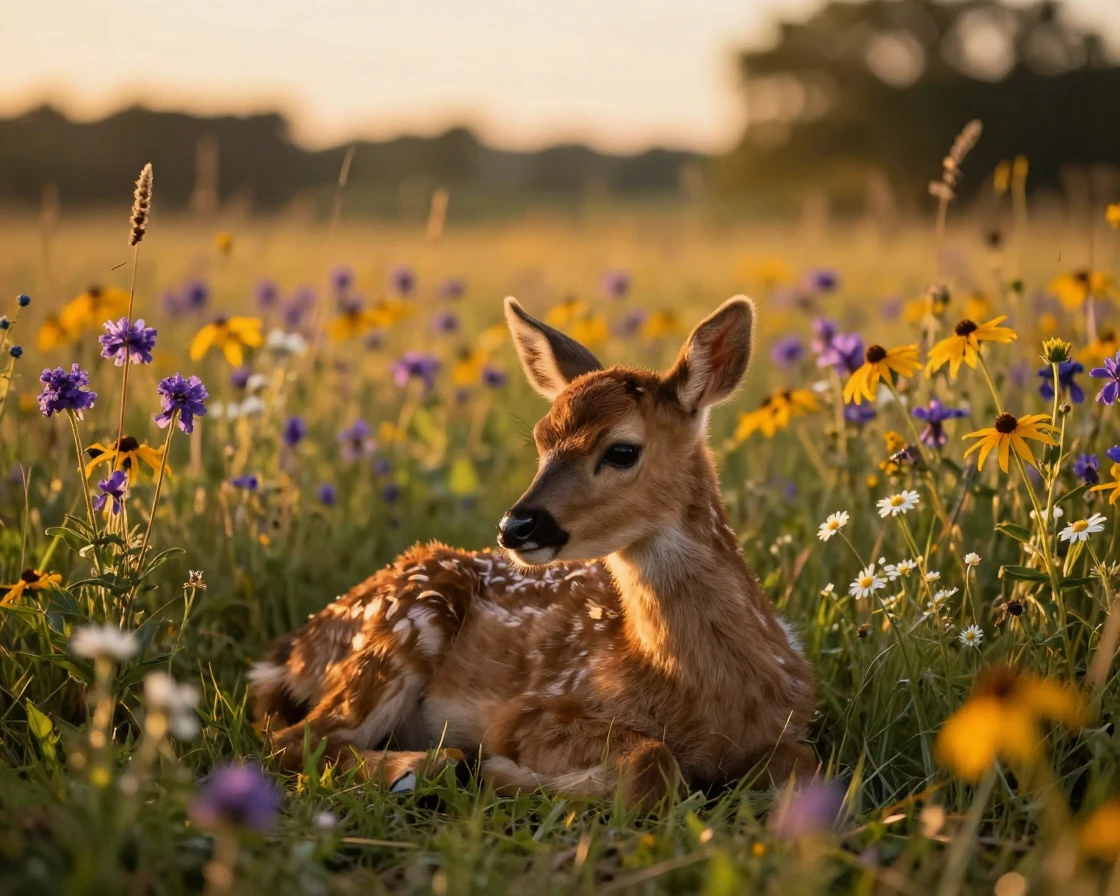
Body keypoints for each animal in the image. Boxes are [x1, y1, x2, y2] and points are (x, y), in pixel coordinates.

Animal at [250, 295, 817, 808]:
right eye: (542, 441)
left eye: (622, 450)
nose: (516, 526)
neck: (707, 694)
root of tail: (293, 648)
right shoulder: (530, 711)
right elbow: (653, 763)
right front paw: (508, 775)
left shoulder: (789, 723)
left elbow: (807, 766)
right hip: (404, 623)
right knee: (295, 741)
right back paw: (429, 767)